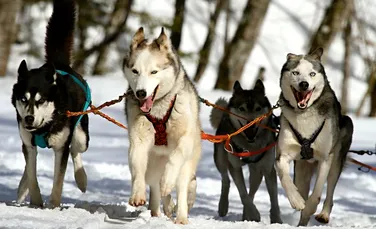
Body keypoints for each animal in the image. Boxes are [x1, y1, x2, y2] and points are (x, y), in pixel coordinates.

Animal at [11, 0, 89, 208]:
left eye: (41, 100)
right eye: (24, 99)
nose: (29, 119)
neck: (43, 128)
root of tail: (59, 65)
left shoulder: (61, 148)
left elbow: (58, 181)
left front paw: (53, 205)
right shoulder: (28, 144)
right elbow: (32, 174)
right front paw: (36, 202)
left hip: (81, 135)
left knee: (76, 151)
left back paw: (81, 179)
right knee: (28, 167)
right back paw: (22, 189)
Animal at [122, 26, 200, 224]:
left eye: (154, 72)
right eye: (135, 71)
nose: (141, 93)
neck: (158, 109)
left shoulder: (185, 139)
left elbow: (175, 158)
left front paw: (167, 181)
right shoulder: (138, 140)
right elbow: (137, 168)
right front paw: (137, 194)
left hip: (187, 166)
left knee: (181, 188)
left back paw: (181, 217)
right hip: (153, 166)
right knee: (156, 189)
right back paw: (157, 212)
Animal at [210, 79, 280, 223]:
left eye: (258, 108)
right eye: (241, 108)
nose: (251, 123)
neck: (250, 145)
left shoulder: (268, 169)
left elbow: (274, 199)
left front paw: (277, 220)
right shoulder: (235, 167)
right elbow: (243, 194)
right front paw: (254, 214)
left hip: (257, 172)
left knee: (252, 190)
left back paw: (245, 215)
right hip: (220, 160)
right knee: (226, 180)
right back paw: (223, 206)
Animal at [276, 47, 352, 225]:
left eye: (312, 74)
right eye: (295, 72)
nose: (304, 84)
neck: (304, 114)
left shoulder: (325, 158)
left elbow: (317, 192)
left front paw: (310, 207)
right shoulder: (283, 154)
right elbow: (284, 176)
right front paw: (296, 200)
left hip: (337, 157)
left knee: (330, 190)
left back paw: (323, 214)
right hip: (301, 170)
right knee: (302, 187)